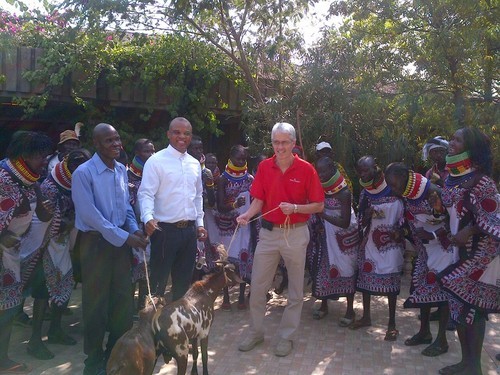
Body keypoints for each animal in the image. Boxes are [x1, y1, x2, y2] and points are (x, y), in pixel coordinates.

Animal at [153, 245, 243, 374]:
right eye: (234, 271)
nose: (243, 279)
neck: (206, 292)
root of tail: (157, 325)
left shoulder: (194, 334)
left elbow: (196, 353)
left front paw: (194, 372)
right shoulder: (204, 332)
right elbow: (205, 356)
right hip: (181, 353)